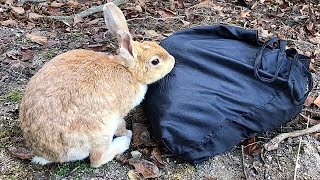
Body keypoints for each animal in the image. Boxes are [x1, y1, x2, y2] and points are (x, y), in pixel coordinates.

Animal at [19, 2, 175, 168]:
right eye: (155, 61)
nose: (173, 60)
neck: (128, 71)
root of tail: (47, 154)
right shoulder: (119, 114)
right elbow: (121, 124)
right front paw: (126, 132)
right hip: (102, 131)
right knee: (96, 159)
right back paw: (124, 141)